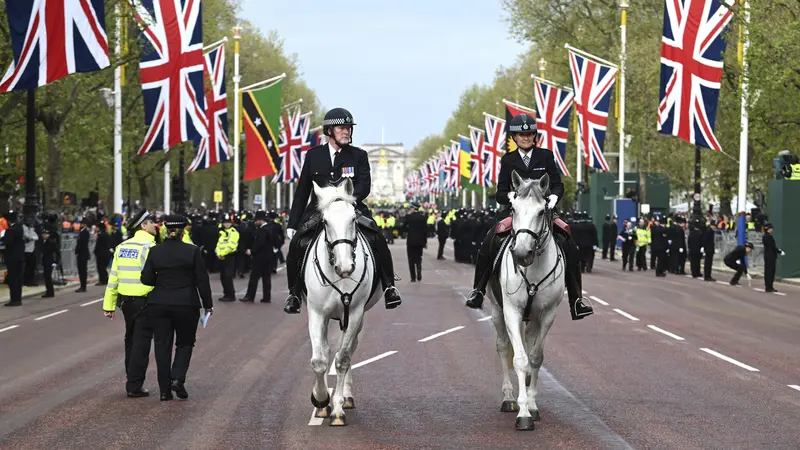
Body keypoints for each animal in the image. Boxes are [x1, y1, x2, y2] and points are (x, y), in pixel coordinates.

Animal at [306, 178, 382, 426]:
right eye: (325, 222)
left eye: (353, 219)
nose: (346, 267)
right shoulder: (316, 313)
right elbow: (320, 360)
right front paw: (321, 400)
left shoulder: (355, 312)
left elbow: (342, 360)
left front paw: (337, 408)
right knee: (329, 350)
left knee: (348, 350)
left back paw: (346, 397)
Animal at [484, 171, 564, 432]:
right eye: (514, 208)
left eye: (541, 211)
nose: (521, 254)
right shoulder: (511, 311)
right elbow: (518, 359)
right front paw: (523, 412)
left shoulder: (547, 314)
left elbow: (536, 358)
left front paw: (532, 405)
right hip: (497, 310)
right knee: (502, 346)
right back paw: (509, 397)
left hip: (533, 318)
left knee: (529, 344)